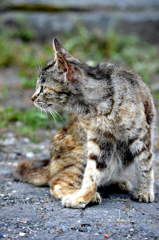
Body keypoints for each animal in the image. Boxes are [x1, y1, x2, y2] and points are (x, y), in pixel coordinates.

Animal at [13, 38, 155, 207]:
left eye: (42, 88)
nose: (32, 98)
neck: (97, 108)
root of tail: (50, 164)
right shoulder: (99, 140)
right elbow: (92, 173)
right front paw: (82, 197)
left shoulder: (140, 134)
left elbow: (145, 165)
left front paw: (145, 191)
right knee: (57, 183)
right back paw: (88, 193)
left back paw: (116, 183)